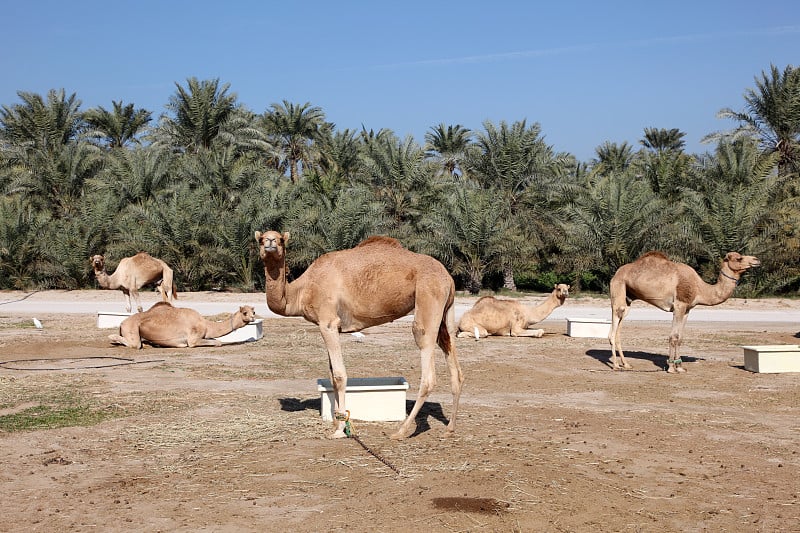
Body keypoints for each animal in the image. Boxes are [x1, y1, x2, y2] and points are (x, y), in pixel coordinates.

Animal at [110, 302, 256, 348]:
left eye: (253, 311)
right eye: (245, 312)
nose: (253, 317)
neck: (206, 324)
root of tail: (122, 323)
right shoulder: (193, 339)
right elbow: (218, 342)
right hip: (131, 328)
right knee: (135, 344)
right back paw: (112, 337)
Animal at [256, 231, 462, 438]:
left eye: (281, 239)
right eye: (261, 238)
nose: (270, 242)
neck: (301, 291)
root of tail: (448, 278)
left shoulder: (328, 322)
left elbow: (339, 375)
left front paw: (340, 429)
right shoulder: (330, 327)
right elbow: (331, 376)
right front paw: (337, 420)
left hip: (428, 298)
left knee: (427, 368)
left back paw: (401, 431)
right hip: (447, 312)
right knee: (454, 362)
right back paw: (450, 428)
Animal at [608, 251, 760, 372]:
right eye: (739, 258)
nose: (757, 260)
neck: (700, 288)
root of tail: (616, 273)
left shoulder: (687, 309)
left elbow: (680, 337)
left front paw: (680, 367)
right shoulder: (679, 306)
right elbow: (673, 336)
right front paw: (671, 368)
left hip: (628, 298)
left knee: (620, 325)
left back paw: (626, 364)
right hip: (618, 288)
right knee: (614, 325)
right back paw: (615, 365)